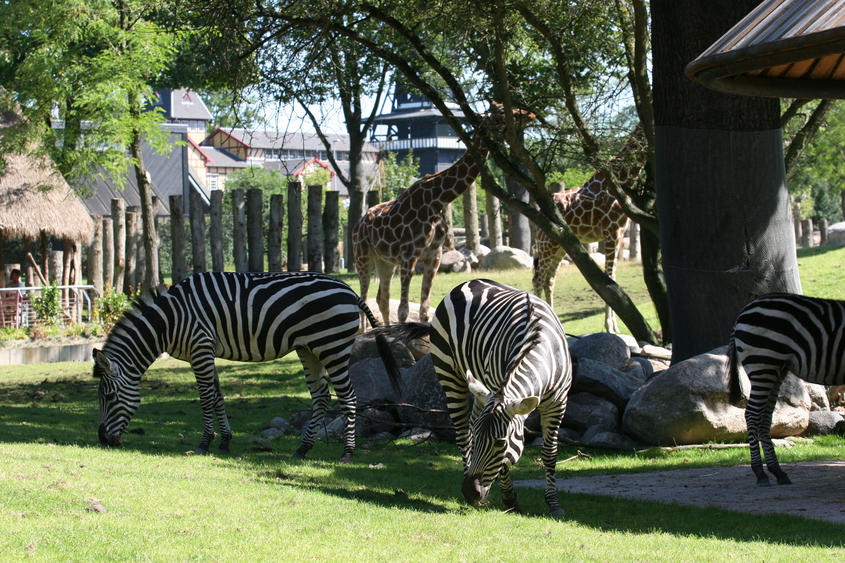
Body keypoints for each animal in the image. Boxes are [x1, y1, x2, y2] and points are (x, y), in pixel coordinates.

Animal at [94, 274, 398, 462]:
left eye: (108, 397)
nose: (103, 439)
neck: (170, 320)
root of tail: (350, 291)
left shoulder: (200, 346)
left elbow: (206, 398)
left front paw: (204, 443)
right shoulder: (205, 351)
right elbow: (217, 396)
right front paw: (225, 441)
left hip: (332, 347)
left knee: (349, 398)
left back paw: (347, 453)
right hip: (309, 349)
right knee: (321, 396)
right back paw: (303, 448)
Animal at [350, 99, 536, 324]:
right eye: (499, 111)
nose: (531, 115)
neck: (436, 200)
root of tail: (358, 224)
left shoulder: (434, 256)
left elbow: (424, 310)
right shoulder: (409, 257)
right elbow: (403, 311)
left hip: (385, 261)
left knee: (382, 299)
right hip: (362, 255)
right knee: (363, 299)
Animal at [426, 280, 572, 516]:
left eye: (500, 442)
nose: (469, 492)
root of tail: (469, 282)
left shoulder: (558, 404)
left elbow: (550, 453)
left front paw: (554, 503)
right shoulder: (495, 387)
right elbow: (503, 462)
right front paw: (509, 498)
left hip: (479, 392)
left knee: (470, 424)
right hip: (450, 374)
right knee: (462, 435)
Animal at [536, 123, 648, 332]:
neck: (622, 178)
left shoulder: (620, 232)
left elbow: (613, 277)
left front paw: (614, 326)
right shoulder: (612, 231)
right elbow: (609, 278)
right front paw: (609, 326)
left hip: (559, 245)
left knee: (549, 279)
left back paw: (554, 319)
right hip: (546, 243)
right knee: (538, 278)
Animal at [724, 294, 844, 486]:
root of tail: (743, 312)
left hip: (775, 370)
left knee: (765, 417)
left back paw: (778, 471)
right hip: (763, 363)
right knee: (752, 414)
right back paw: (760, 473)